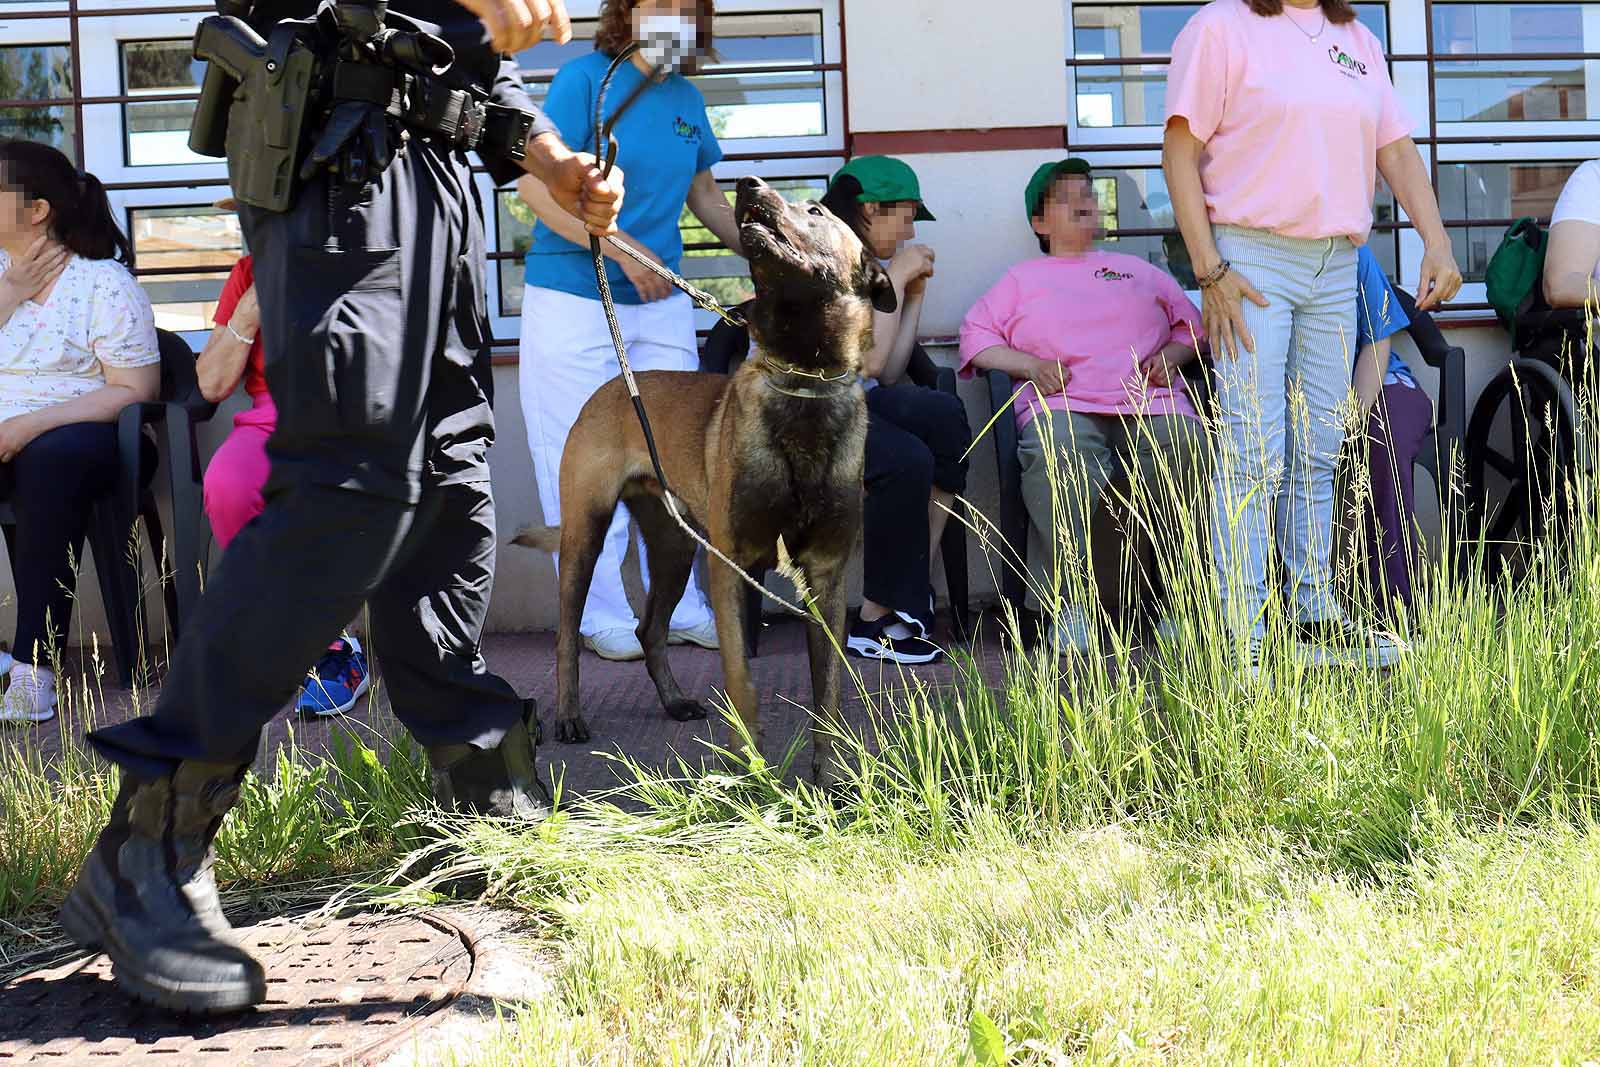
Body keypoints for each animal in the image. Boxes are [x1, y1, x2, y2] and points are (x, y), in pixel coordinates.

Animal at [512, 173, 896, 777]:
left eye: (814, 210)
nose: (747, 183)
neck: (802, 381)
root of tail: (612, 385)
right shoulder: (732, 567)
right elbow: (742, 681)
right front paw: (754, 772)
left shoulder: (826, 578)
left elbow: (829, 692)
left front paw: (829, 780)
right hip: (585, 535)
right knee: (568, 634)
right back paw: (570, 716)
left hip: (675, 546)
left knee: (651, 629)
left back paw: (673, 701)